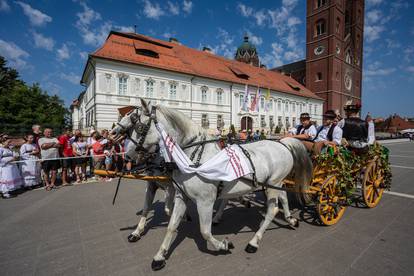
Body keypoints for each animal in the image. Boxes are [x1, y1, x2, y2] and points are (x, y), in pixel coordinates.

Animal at [121, 98, 312, 270]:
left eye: (139, 127)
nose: (126, 156)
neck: (193, 156)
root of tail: (282, 143)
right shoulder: (181, 196)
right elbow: (171, 226)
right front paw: (159, 256)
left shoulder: (205, 201)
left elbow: (205, 231)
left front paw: (223, 245)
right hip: (274, 183)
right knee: (283, 197)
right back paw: (290, 219)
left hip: (273, 183)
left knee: (272, 210)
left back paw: (254, 242)